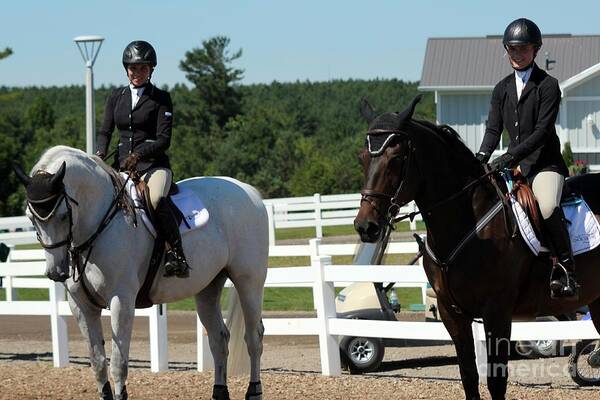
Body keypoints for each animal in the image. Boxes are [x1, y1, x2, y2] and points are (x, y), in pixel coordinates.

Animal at [15, 147, 268, 400]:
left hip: (249, 282)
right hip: (208, 287)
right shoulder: (81, 306)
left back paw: (254, 390)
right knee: (218, 339)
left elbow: (118, 364)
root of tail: (249, 191)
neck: (97, 226)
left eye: (63, 216)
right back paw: (220, 392)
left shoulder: (121, 301)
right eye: (30, 217)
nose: (56, 271)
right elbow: (98, 363)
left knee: (254, 337)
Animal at [354, 97, 600, 400]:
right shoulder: (453, 314)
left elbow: (496, 381)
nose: (366, 226)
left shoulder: (497, 312)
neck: (466, 221)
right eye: (363, 158)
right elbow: (469, 377)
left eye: (396, 159)